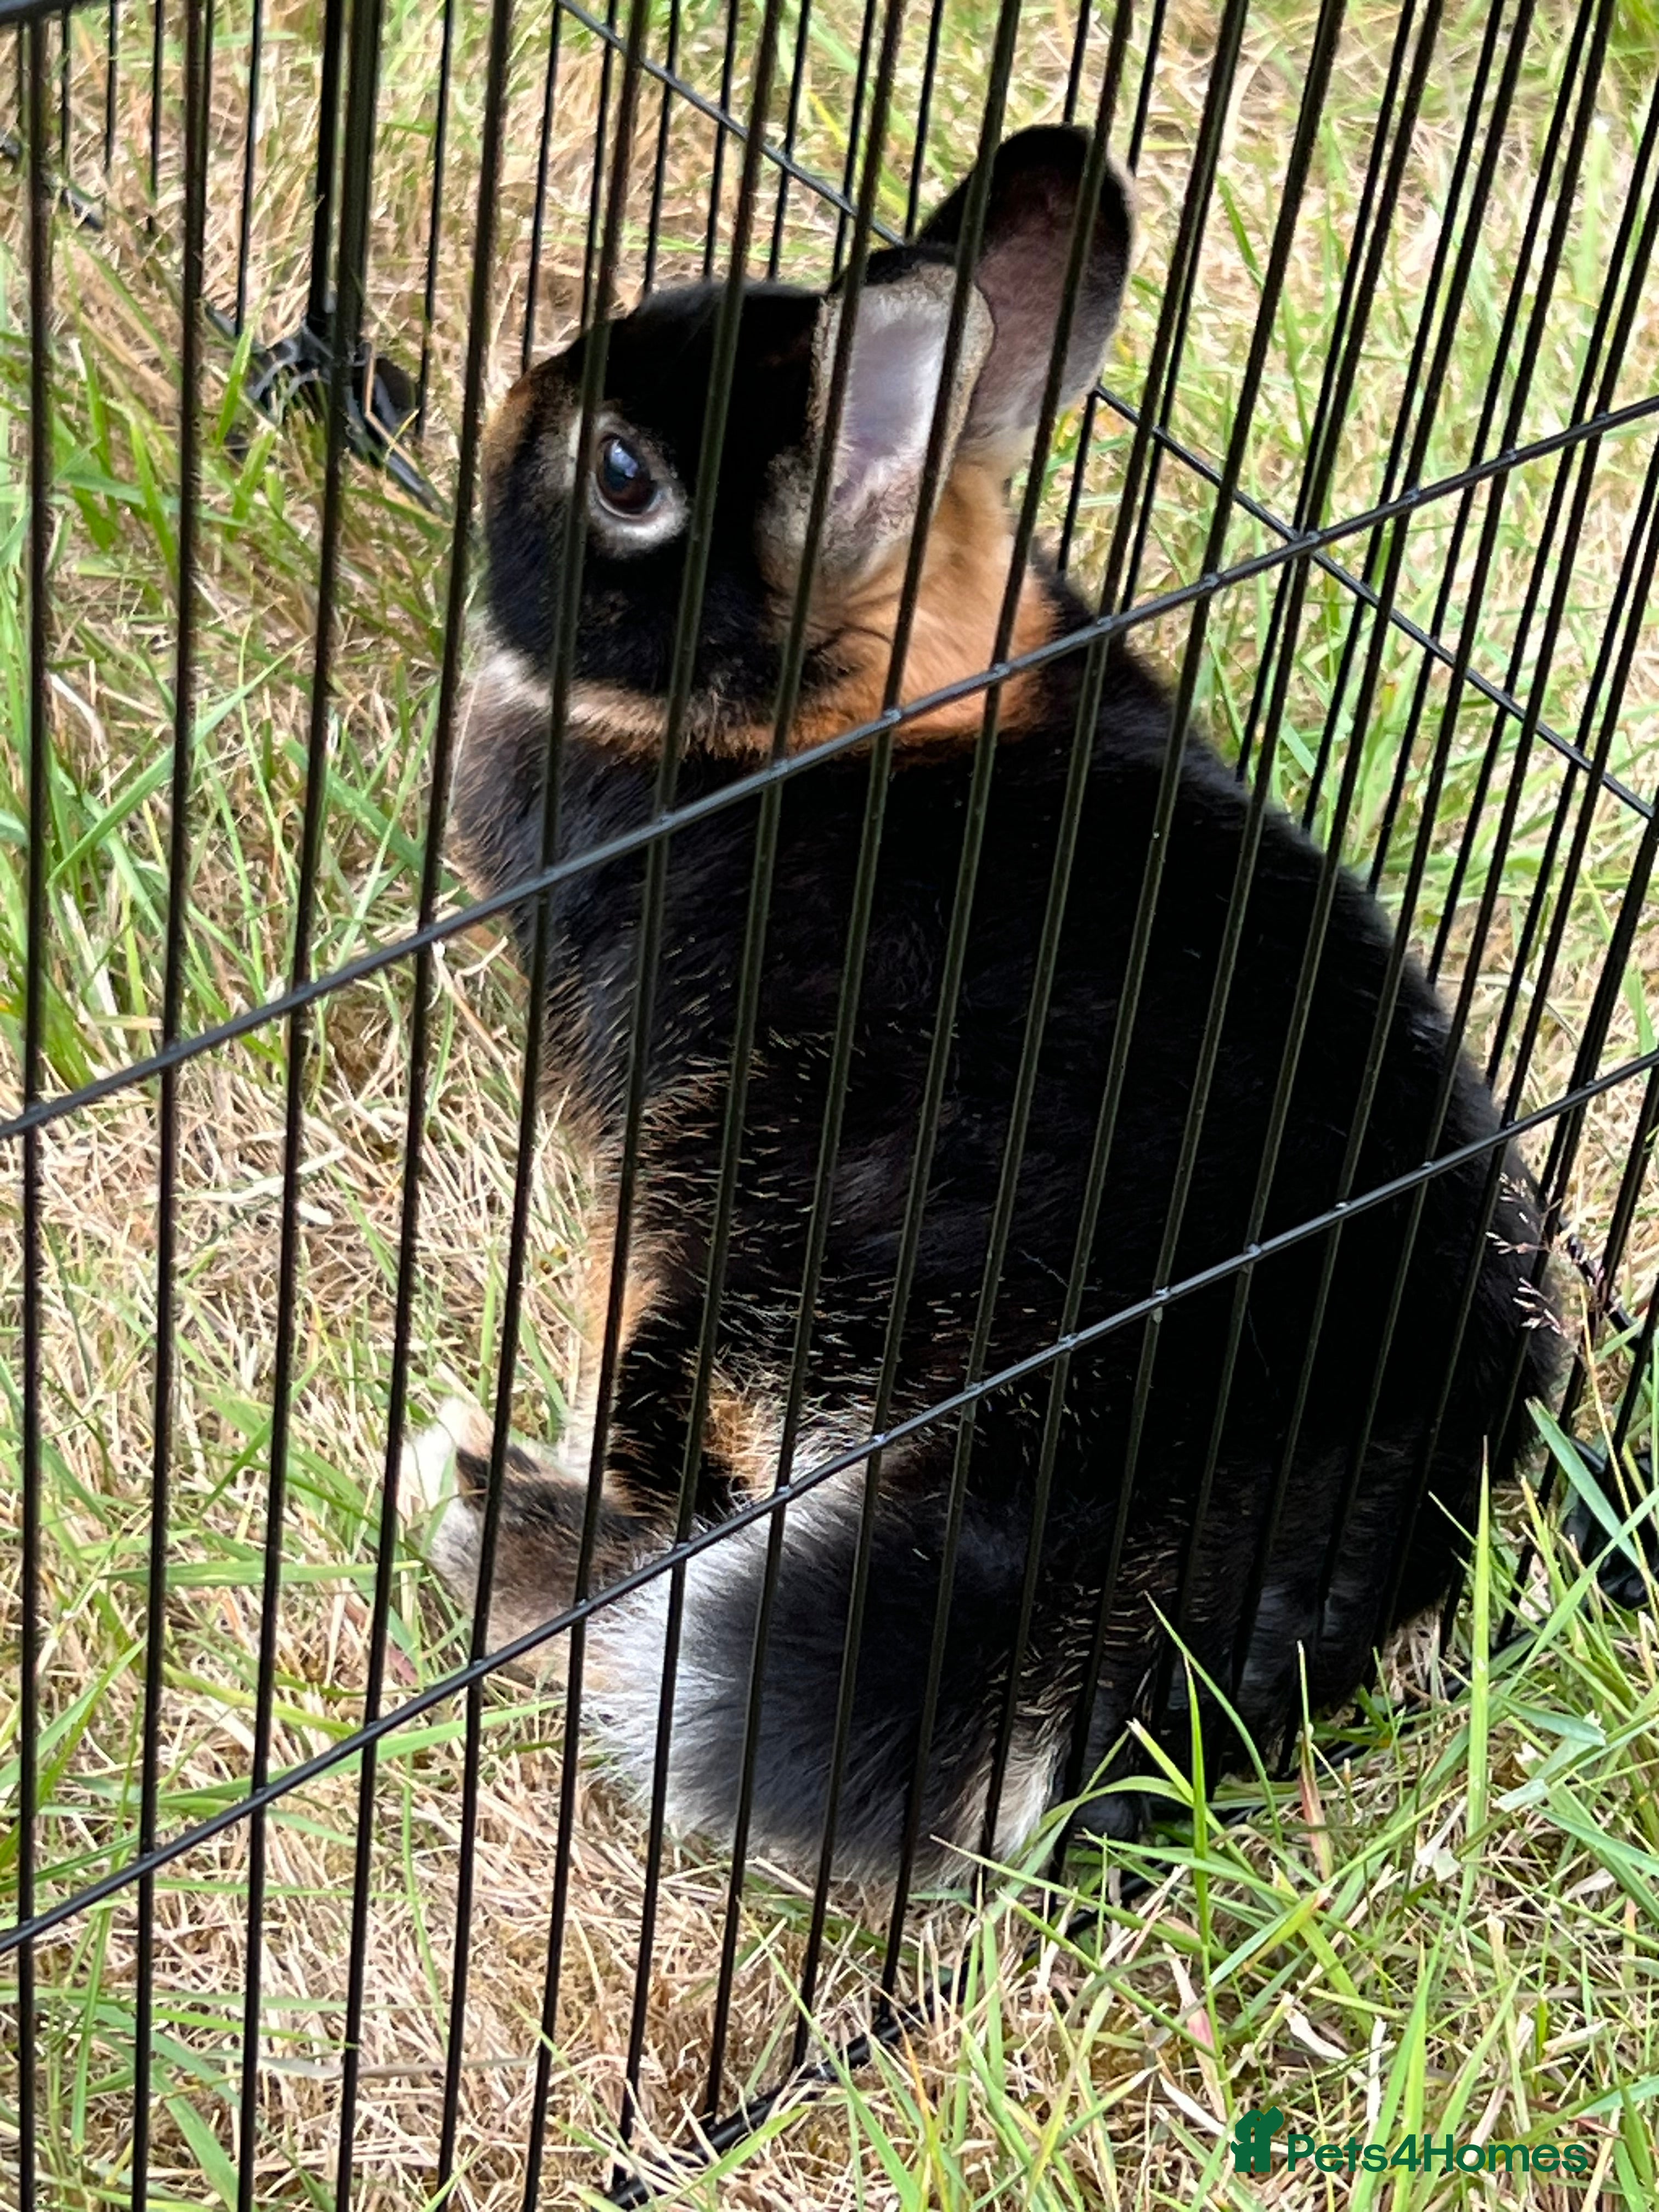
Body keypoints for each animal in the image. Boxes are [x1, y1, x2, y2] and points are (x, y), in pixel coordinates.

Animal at [410, 125, 1560, 1882]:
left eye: (622, 477)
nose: (496, 421)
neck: (866, 704)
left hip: (789, 1243)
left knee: (687, 1511)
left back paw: (488, 1514)